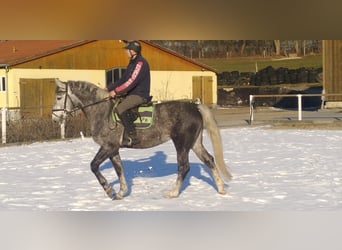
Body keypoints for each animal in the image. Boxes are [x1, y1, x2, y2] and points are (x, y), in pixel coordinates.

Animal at [51, 78, 232, 199]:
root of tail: (195, 107)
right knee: (209, 160)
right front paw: (121, 193)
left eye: (59, 97)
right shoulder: (113, 149)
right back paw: (221, 189)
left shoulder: (108, 146)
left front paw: (110, 190)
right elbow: (119, 170)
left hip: (181, 144)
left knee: (184, 167)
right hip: (194, 143)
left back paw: (173, 193)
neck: (101, 111)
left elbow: (94, 166)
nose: (54, 118)